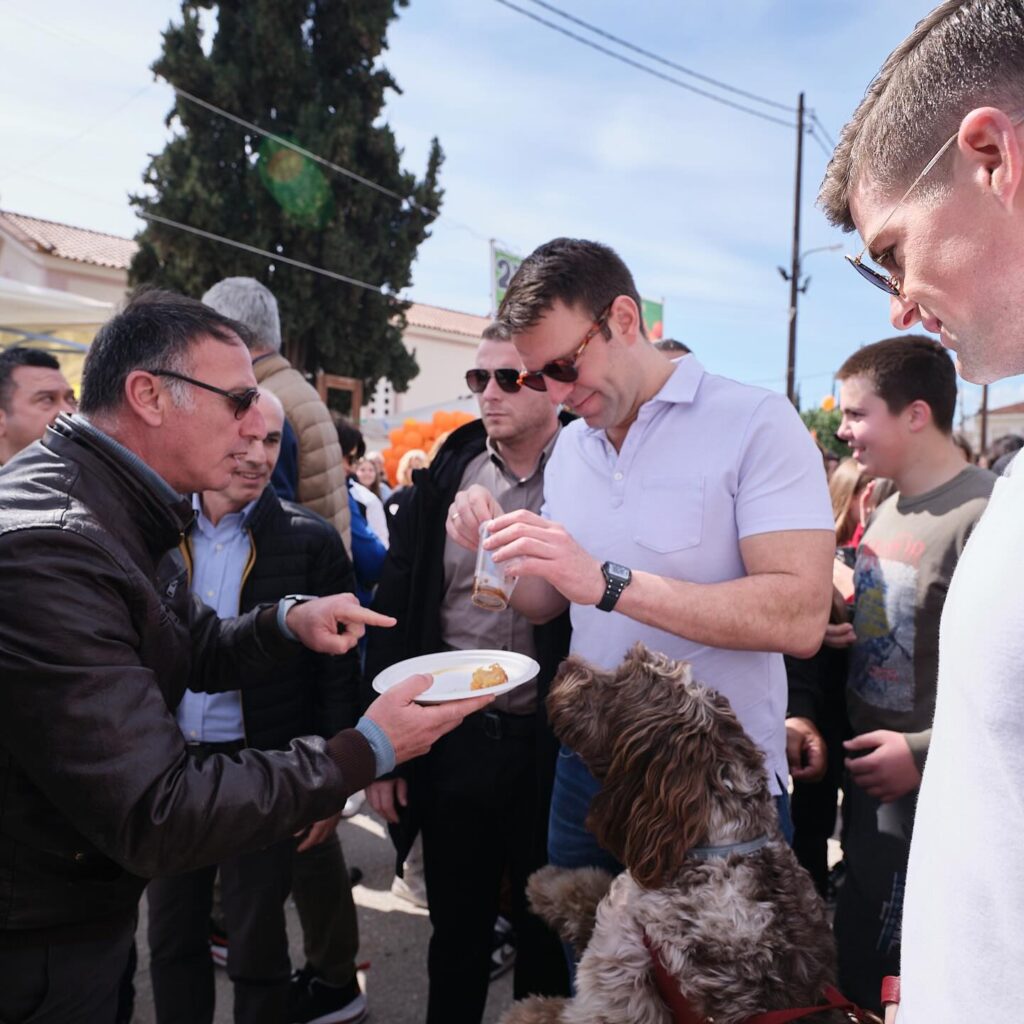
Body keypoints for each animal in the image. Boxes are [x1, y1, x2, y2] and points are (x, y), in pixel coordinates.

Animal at [499, 643, 843, 1024]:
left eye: (619, 686)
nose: (564, 666)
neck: (717, 849)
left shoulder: (614, 989)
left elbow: (547, 1010)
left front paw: (522, 1010)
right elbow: (591, 891)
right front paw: (548, 883)